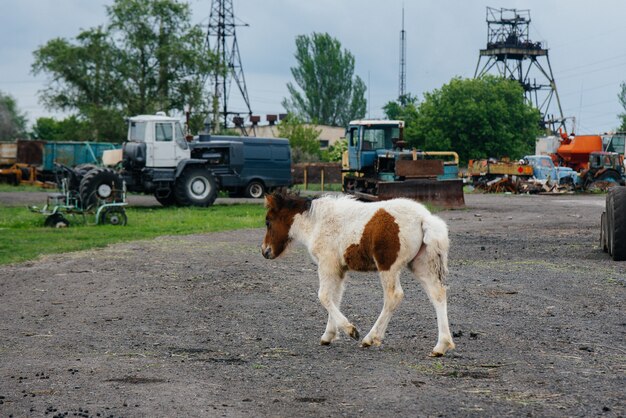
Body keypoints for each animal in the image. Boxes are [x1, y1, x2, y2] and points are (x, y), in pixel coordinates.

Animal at [260, 189, 454, 356]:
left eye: (268, 221)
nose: (265, 251)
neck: (318, 222)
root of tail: (424, 218)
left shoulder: (327, 265)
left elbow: (324, 296)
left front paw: (350, 330)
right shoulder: (338, 269)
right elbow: (335, 298)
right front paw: (329, 335)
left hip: (388, 267)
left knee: (394, 296)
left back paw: (370, 338)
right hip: (421, 265)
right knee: (437, 294)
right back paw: (441, 346)